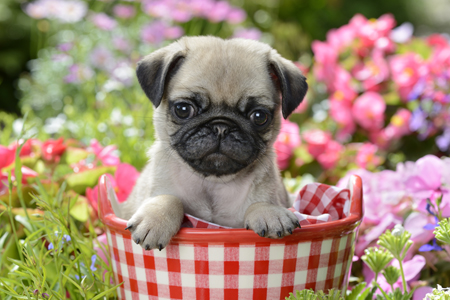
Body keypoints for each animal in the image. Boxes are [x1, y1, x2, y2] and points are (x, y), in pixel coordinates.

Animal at [114, 35, 308, 251]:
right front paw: (155, 219)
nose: (221, 126)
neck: (212, 183)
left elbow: (259, 203)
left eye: (259, 116)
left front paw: (269, 212)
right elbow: (169, 198)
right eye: (183, 109)